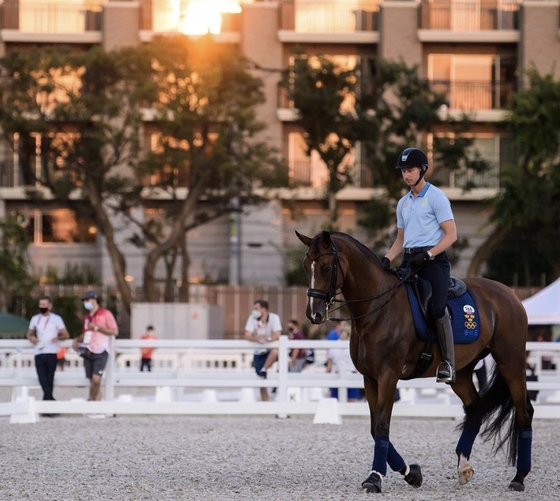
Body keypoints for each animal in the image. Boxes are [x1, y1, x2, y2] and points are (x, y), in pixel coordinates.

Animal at [296, 229, 532, 492]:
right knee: (475, 409)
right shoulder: (370, 379)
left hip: (510, 361)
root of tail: (509, 293)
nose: (314, 314)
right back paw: (463, 466)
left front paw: (375, 478)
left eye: (327, 268)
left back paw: (519, 477)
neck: (377, 309)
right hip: (461, 372)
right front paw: (412, 474)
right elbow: (374, 428)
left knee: (524, 412)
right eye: (306, 266)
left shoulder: (388, 376)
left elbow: (382, 426)